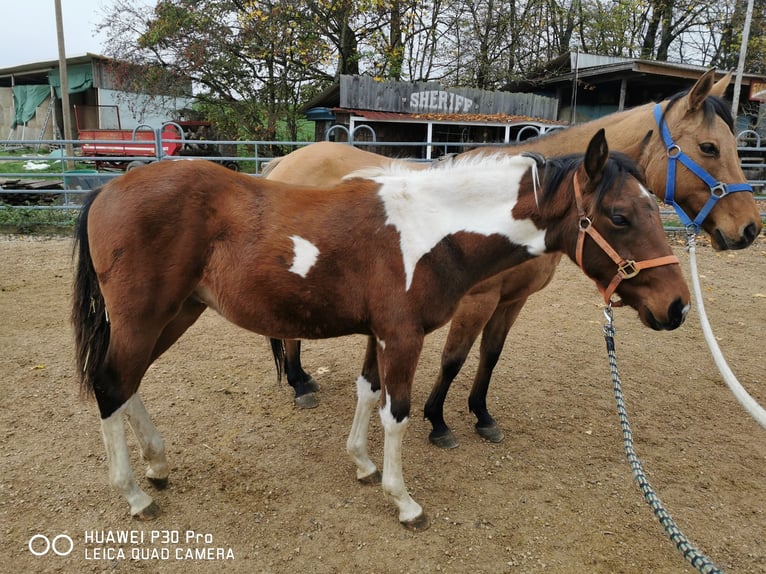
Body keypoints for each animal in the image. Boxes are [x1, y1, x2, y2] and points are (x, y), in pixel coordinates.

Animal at [75, 129, 692, 532]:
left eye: (653, 208)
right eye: (619, 216)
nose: (678, 306)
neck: (432, 230)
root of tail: (107, 190)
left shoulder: (381, 334)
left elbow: (367, 392)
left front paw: (363, 464)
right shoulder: (404, 335)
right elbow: (397, 411)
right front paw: (404, 500)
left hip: (178, 313)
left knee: (127, 382)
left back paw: (156, 466)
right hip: (146, 316)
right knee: (110, 384)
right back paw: (134, 494)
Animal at [262, 68, 760, 450]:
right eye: (709, 148)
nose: (750, 228)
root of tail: (284, 163)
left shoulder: (513, 299)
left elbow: (491, 355)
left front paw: (481, 415)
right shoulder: (476, 300)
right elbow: (454, 358)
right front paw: (438, 422)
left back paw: (301, 378)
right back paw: (301, 383)